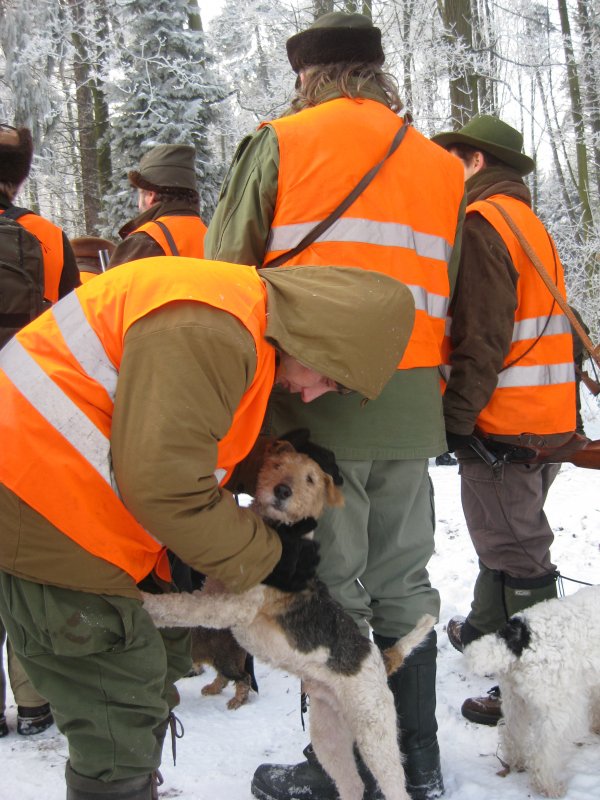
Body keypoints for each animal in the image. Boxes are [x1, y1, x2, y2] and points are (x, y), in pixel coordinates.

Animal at [466, 584, 600, 796]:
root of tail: (518, 636)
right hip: (559, 709)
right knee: (543, 755)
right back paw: (550, 787)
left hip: (514, 699)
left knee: (510, 732)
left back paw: (516, 761)